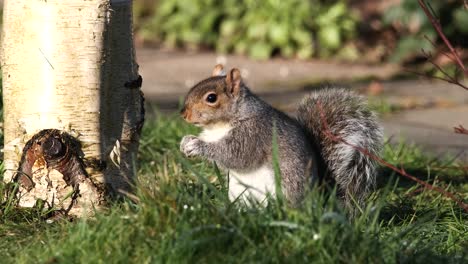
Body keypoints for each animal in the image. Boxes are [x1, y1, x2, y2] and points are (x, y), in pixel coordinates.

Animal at [179, 65, 384, 211]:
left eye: (211, 98)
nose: (183, 114)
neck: (218, 127)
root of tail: (317, 197)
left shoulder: (253, 134)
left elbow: (235, 156)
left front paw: (198, 146)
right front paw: (185, 142)